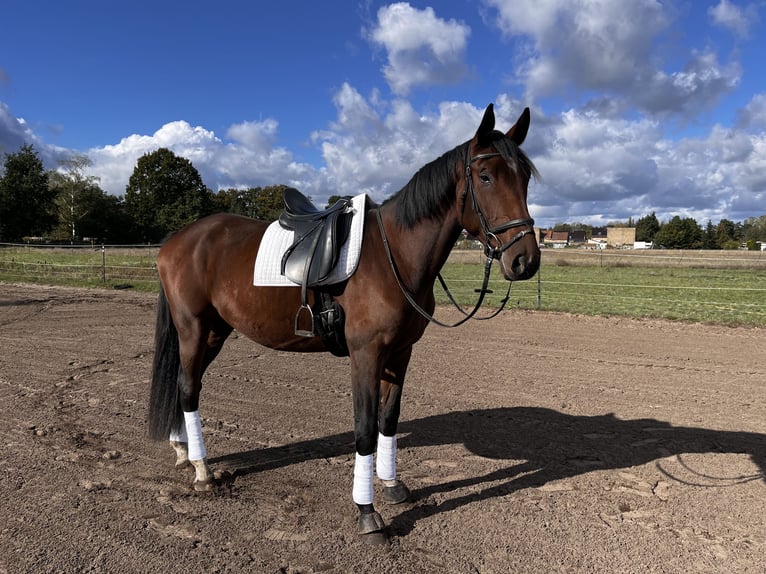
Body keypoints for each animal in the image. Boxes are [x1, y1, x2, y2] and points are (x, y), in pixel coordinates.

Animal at [147, 103, 540, 544]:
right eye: (486, 176)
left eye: (524, 178)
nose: (525, 260)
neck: (393, 256)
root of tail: (176, 240)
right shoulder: (365, 354)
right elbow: (365, 428)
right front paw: (367, 513)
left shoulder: (399, 354)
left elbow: (388, 419)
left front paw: (391, 485)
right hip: (193, 329)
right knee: (188, 388)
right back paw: (202, 471)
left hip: (215, 331)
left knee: (185, 384)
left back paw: (184, 452)